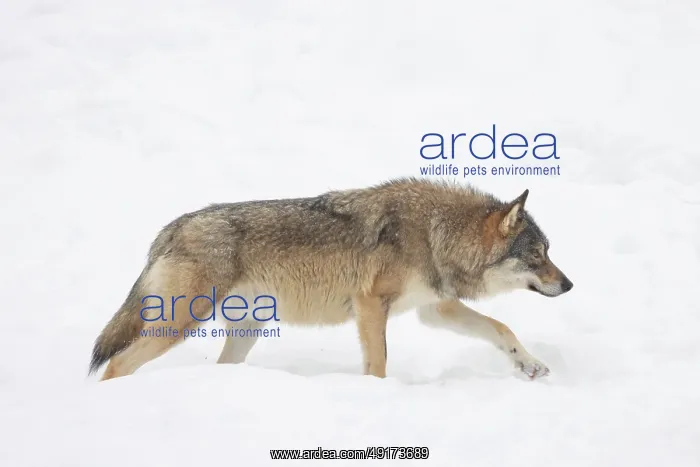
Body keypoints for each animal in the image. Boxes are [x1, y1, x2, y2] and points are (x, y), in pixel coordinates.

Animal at [89, 178, 573, 381]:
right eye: (538, 256)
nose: (569, 285)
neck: (437, 233)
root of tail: (172, 228)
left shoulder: (435, 309)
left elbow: (501, 328)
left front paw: (530, 364)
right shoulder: (370, 305)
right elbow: (378, 364)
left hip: (245, 332)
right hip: (181, 325)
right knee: (116, 365)